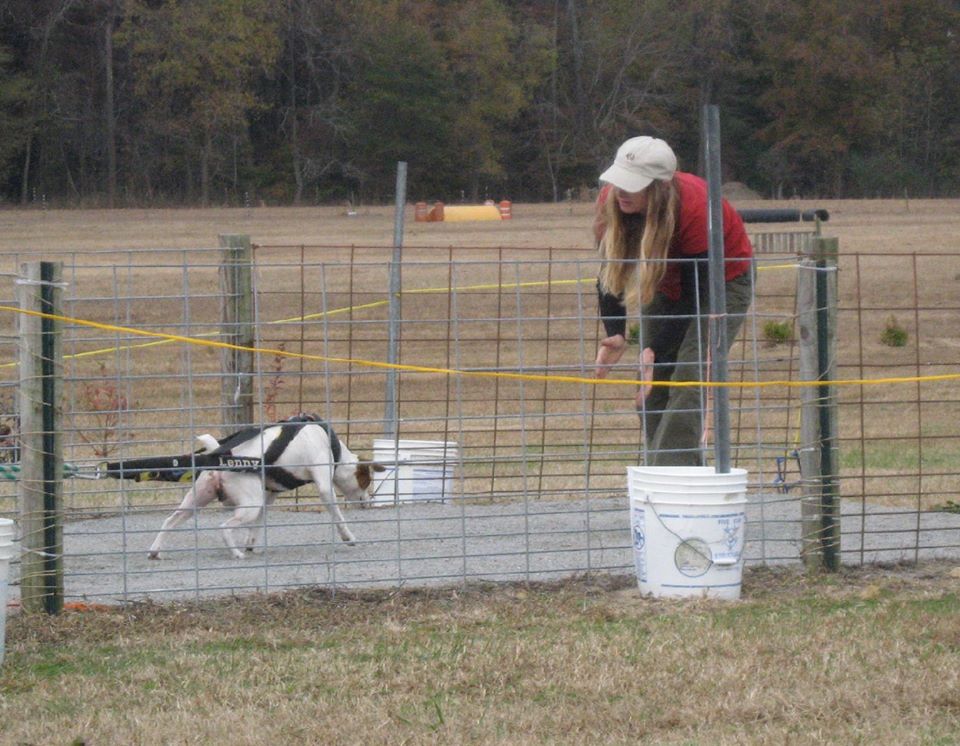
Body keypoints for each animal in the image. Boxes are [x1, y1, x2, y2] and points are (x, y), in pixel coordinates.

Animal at [145, 418, 382, 560]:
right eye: (366, 481)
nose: (369, 501)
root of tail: (221, 456)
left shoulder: (268, 497)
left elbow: (257, 525)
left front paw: (251, 544)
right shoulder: (324, 486)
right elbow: (338, 516)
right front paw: (348, 537)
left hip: (196, 501)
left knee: (169, 521)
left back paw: (155, 551)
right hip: (248, 506)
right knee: (224, 527)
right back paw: (237, 554)